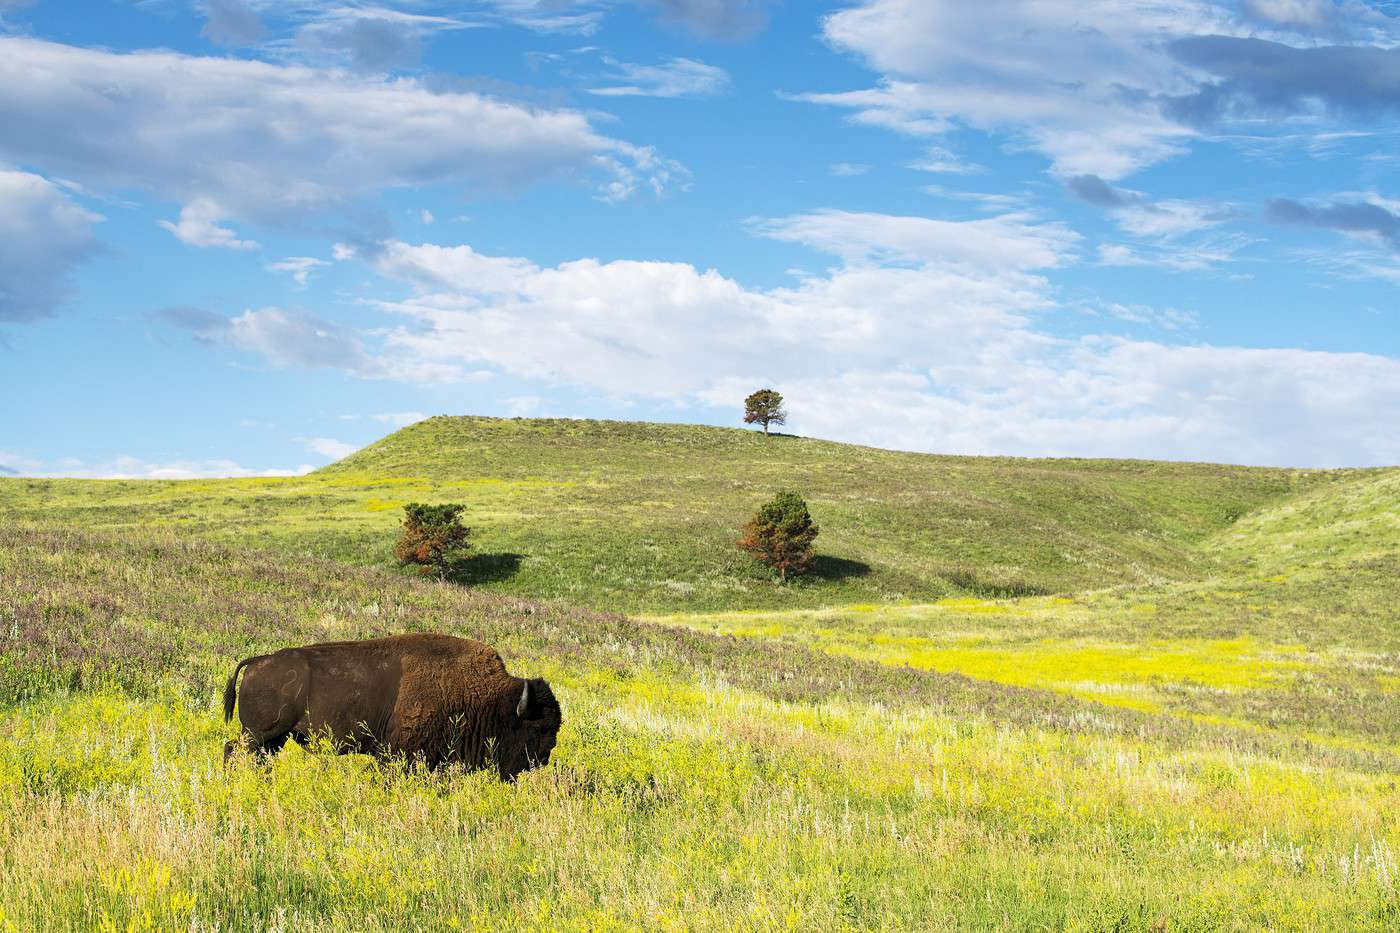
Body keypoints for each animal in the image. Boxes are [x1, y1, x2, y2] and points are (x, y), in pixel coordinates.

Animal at [221, 633, 560, 778]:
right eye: (536, 727)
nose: (544, 757)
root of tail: (257, 662)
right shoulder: (401, 751)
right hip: (260, 734)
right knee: (232, 749)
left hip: (274, 739)